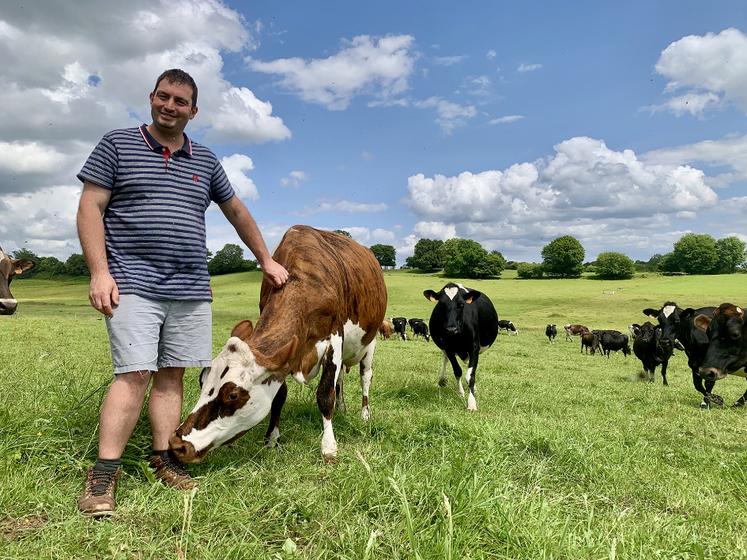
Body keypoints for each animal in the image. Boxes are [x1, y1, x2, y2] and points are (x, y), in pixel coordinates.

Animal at [169, 226, 387, 463]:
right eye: (202, 380)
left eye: (233, 395)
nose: (178, 444)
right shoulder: (283, 359)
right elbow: (280, 396)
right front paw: (272, 439)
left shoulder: (335, 338)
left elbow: (324, 394)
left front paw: (329, 447)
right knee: (339, 381)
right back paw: (341, 408)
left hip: (371, 343)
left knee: (364, 378)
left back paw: (364, 414)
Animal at [423, 283, 499, 411]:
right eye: (441, 304)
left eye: (461, 305)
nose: (451, 329)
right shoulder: (448, 347)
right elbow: (457, 371)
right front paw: (461, 393)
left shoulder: (474, 348)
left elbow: (470, 376)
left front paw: (472, 403)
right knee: (445, 358)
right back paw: (442, 380)